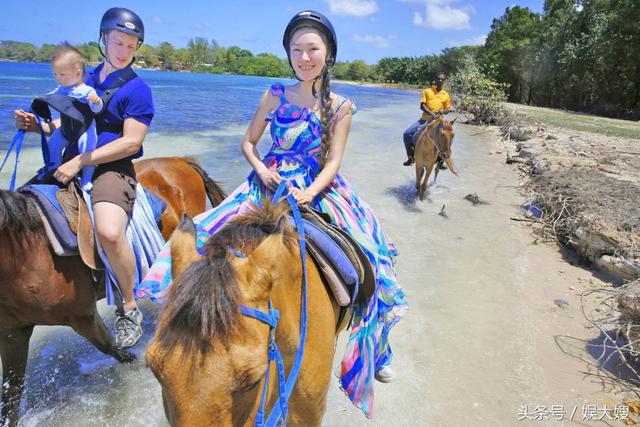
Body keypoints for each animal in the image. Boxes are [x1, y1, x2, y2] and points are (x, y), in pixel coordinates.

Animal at [0, 158, 225, 427]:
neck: (29, 251)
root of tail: (181, 161)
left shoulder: (83, 318)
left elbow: (111, 348)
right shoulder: (13, 332)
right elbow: (12, 391)